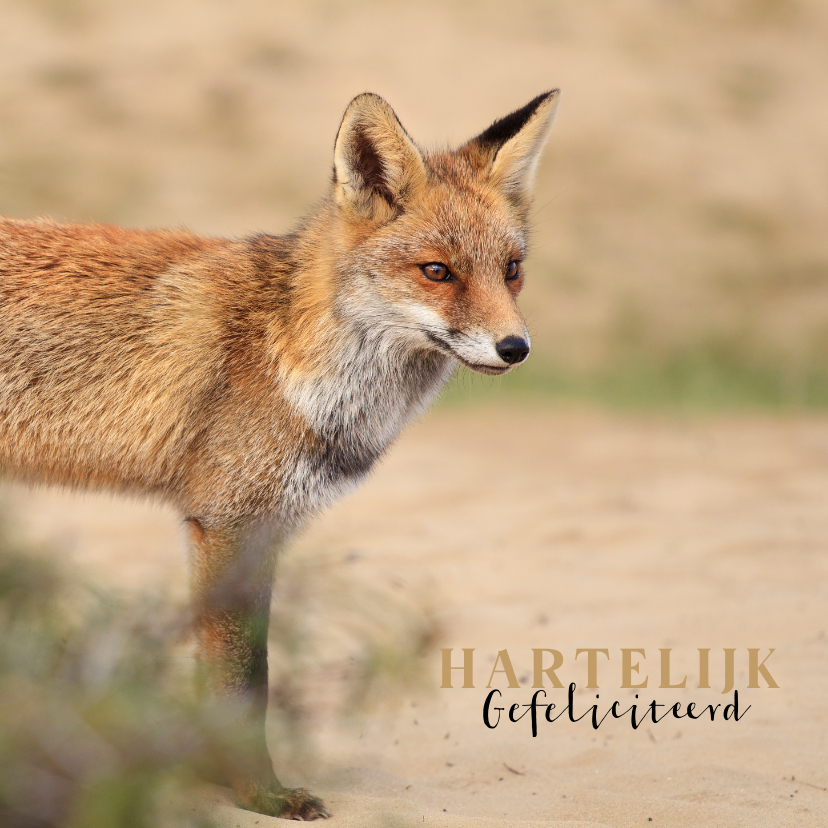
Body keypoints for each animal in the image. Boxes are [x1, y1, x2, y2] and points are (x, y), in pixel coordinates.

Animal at [0, 89, 560, 816]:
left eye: (512, 271)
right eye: (438, 272)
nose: (515, 348)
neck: (287, 347)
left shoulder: (257, 529)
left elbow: (229, 675)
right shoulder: (229, 523)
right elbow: (247, 681)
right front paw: (257, 794)